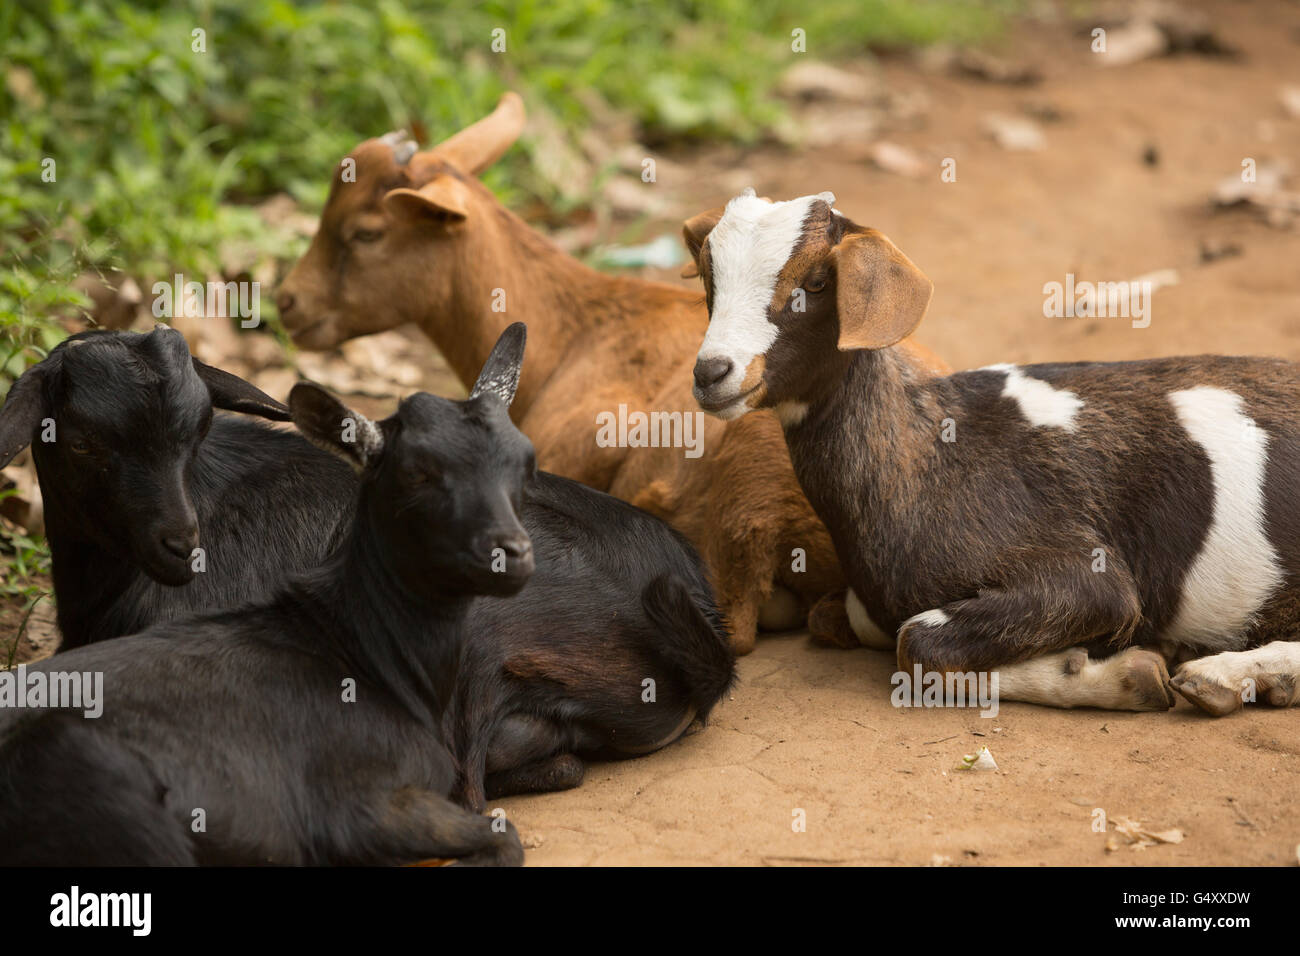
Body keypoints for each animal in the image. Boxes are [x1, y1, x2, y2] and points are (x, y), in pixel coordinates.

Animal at [681, 187, 1300, 712]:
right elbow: (835, 619)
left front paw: (1126, 673)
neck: (926, 456)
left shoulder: (1083, 571)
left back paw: (1227, 676)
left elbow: (917, 644)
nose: (712, 373)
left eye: (814, 282)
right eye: (709, 281)